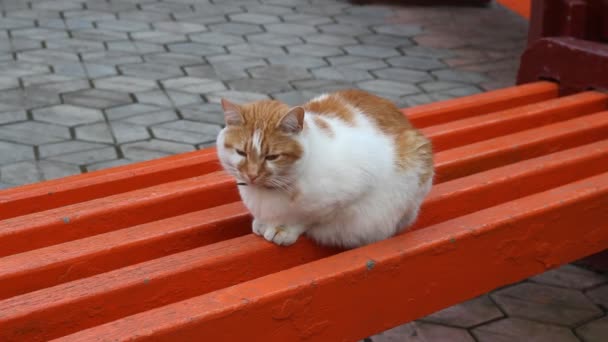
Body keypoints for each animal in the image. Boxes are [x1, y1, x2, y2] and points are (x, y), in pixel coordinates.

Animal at [216, 89, 434, 248]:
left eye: (272, 157)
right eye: (241, 153)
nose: (252, 175)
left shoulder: (352, 190)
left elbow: (308, 218)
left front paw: (284, 229)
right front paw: (262, 223)